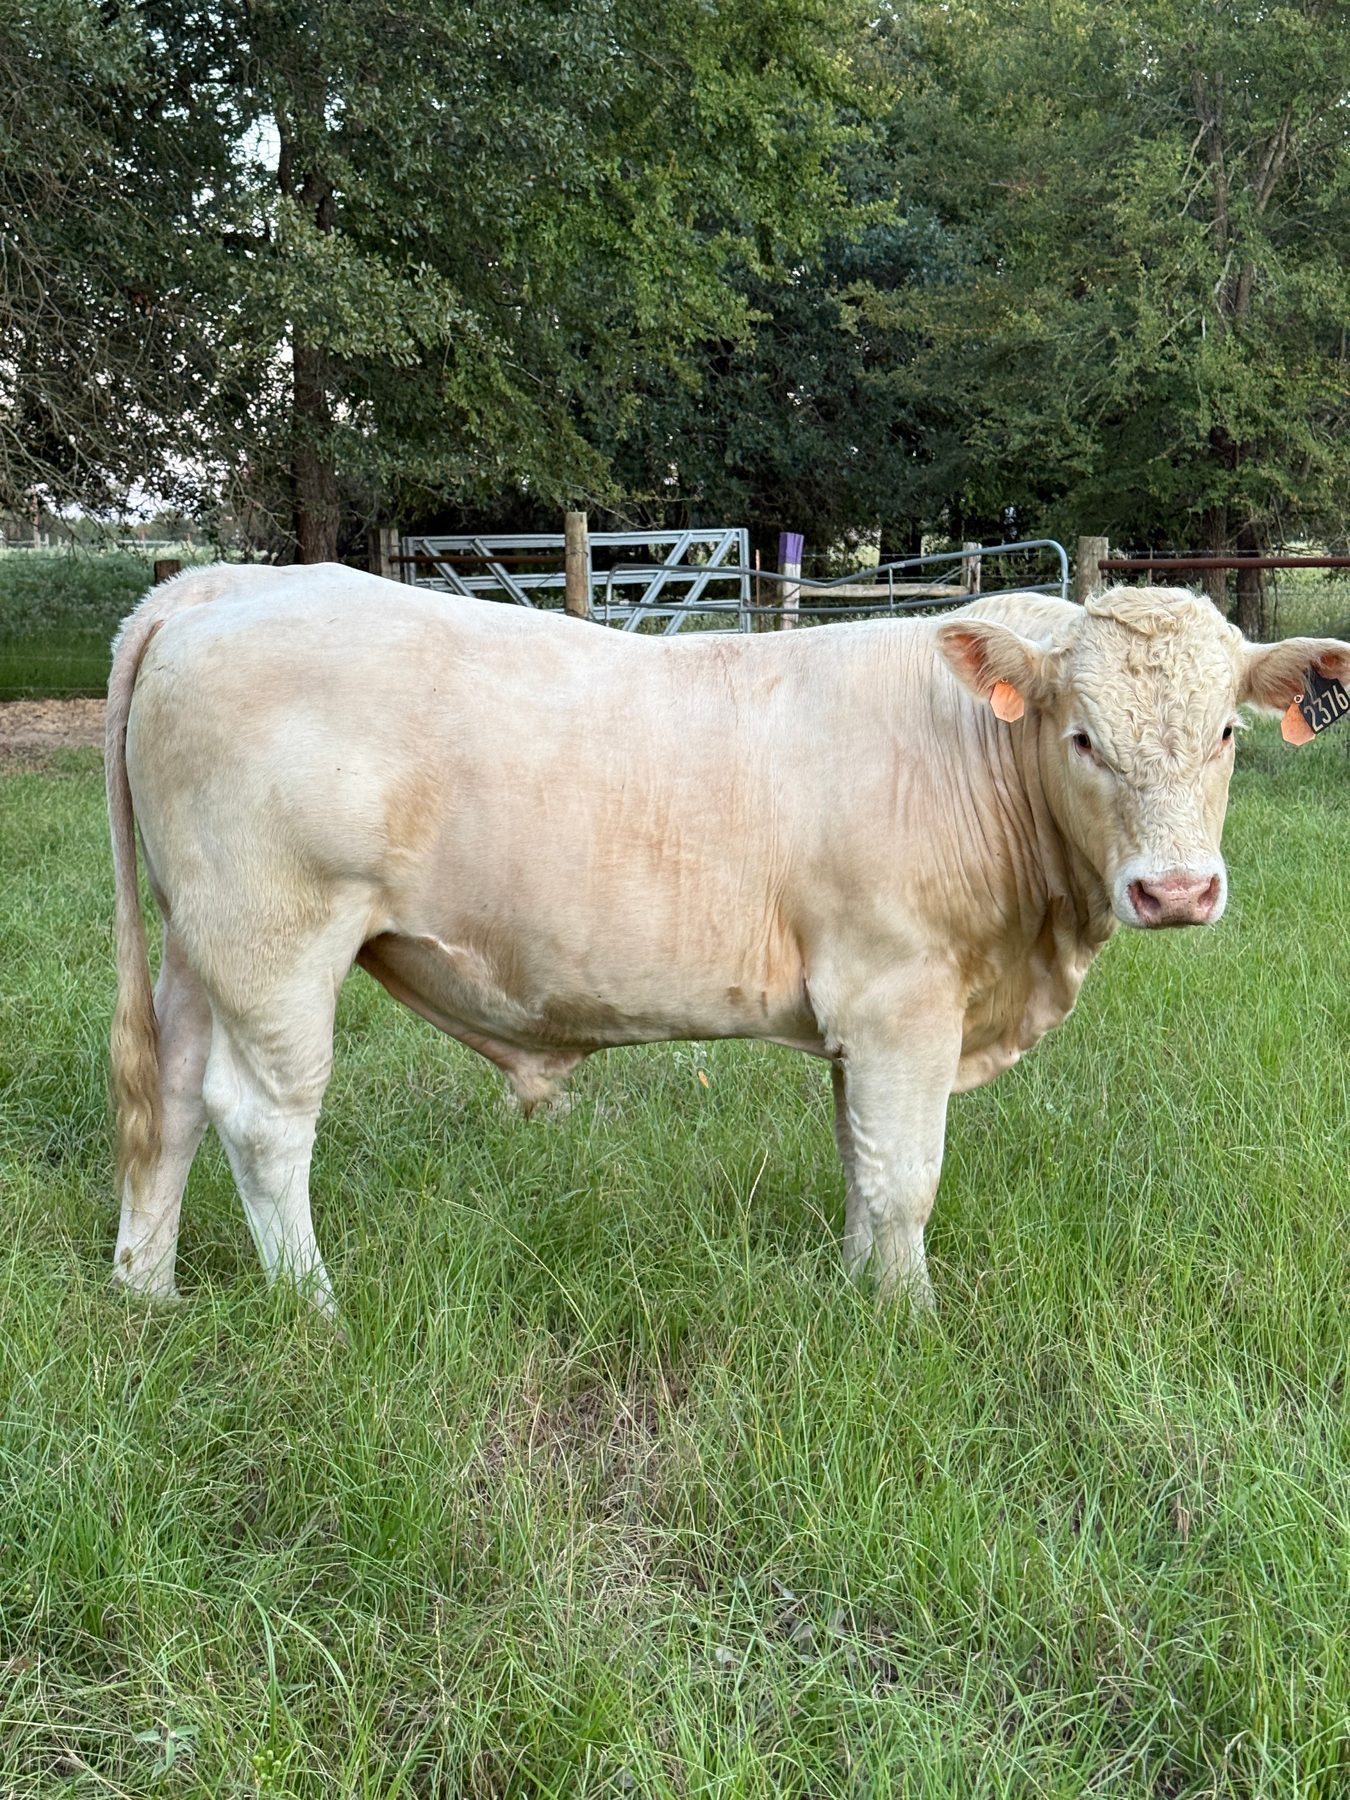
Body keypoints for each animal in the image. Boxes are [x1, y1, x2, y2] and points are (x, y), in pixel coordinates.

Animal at [105, 565, 1349, 1313]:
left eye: (1227, 731)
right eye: (1084, 737)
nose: (1177, 889)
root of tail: (231, 583)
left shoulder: (863, 1017)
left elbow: (860, 1164)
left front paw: (855, 1293)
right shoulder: (902, 995)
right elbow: (907, 1176)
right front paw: (910, 1320)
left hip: (200, 946)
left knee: (171, 1099)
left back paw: (149, 1291)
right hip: (278, 938)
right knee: (261, 1119)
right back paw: (312, 1304)